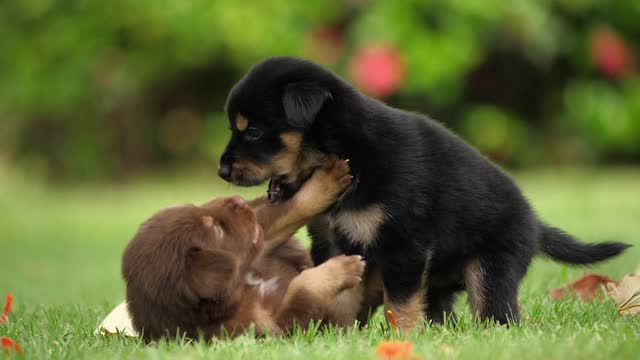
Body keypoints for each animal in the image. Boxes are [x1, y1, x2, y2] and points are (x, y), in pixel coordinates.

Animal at [121, 160, 364, 340]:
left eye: (196, 208)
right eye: (217, 230)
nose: (240, 201)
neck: (242, 287)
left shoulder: (258, 246)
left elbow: (285, 211)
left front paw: (327, 180)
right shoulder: (274, 329)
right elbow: (302, 288)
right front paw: (344, 267)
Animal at [218, 57, 628, 330]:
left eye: (252, 130)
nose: (221, 171)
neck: (346, 150)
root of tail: (536, 224)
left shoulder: (403, 245)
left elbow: (398, 304)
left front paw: (402, 338)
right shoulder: (331, 241)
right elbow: (340, 289)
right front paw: (340, 332)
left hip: (492, 268)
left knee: (498, 313)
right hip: (440, 282)